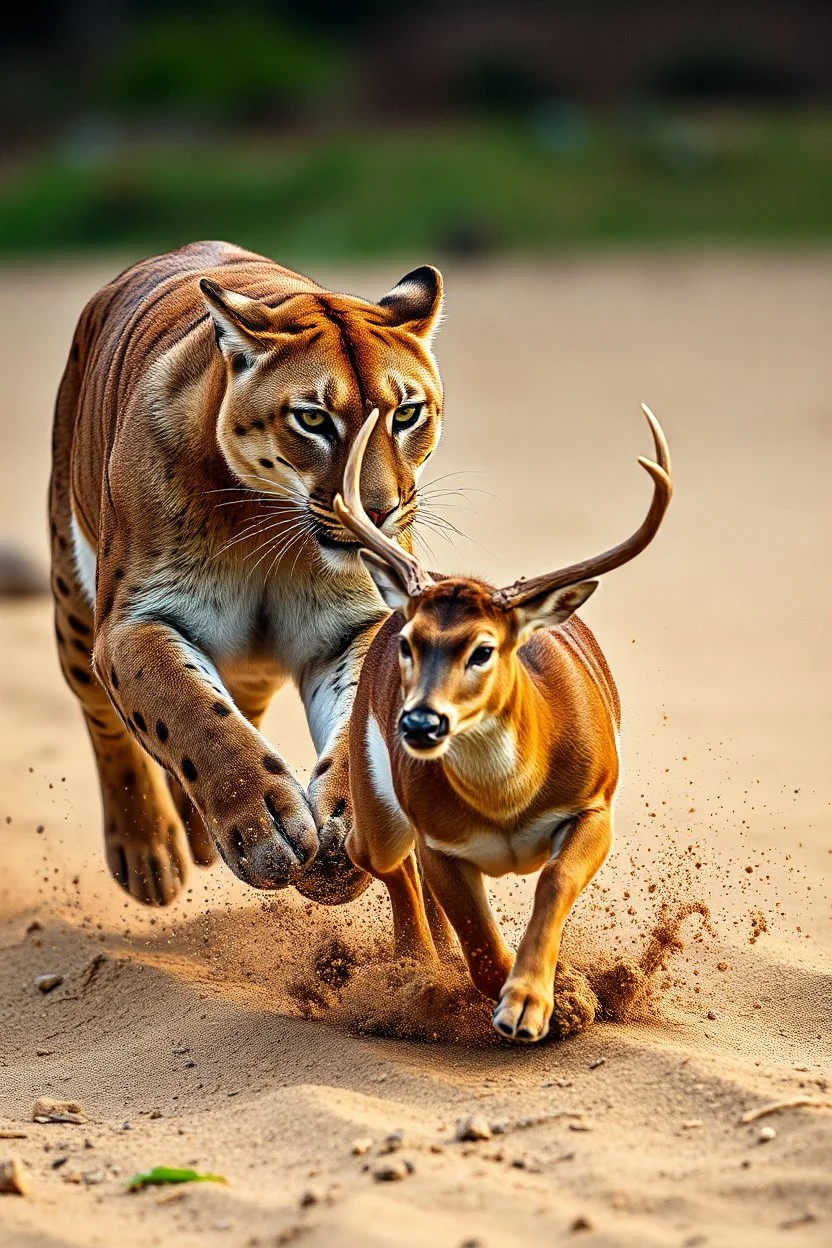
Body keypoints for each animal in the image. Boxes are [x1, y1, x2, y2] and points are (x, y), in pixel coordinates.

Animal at [334, 404, 673, 1038]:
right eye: (410, 644)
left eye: (483, 650)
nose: (419, 725)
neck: (506, 804)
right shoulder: (438, 837)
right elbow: (484, 951)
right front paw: (529, 1006)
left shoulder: (595, 802)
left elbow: (553, 880)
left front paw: (539, 1003)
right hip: (377, 801)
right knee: (371, 854)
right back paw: (415, 966)